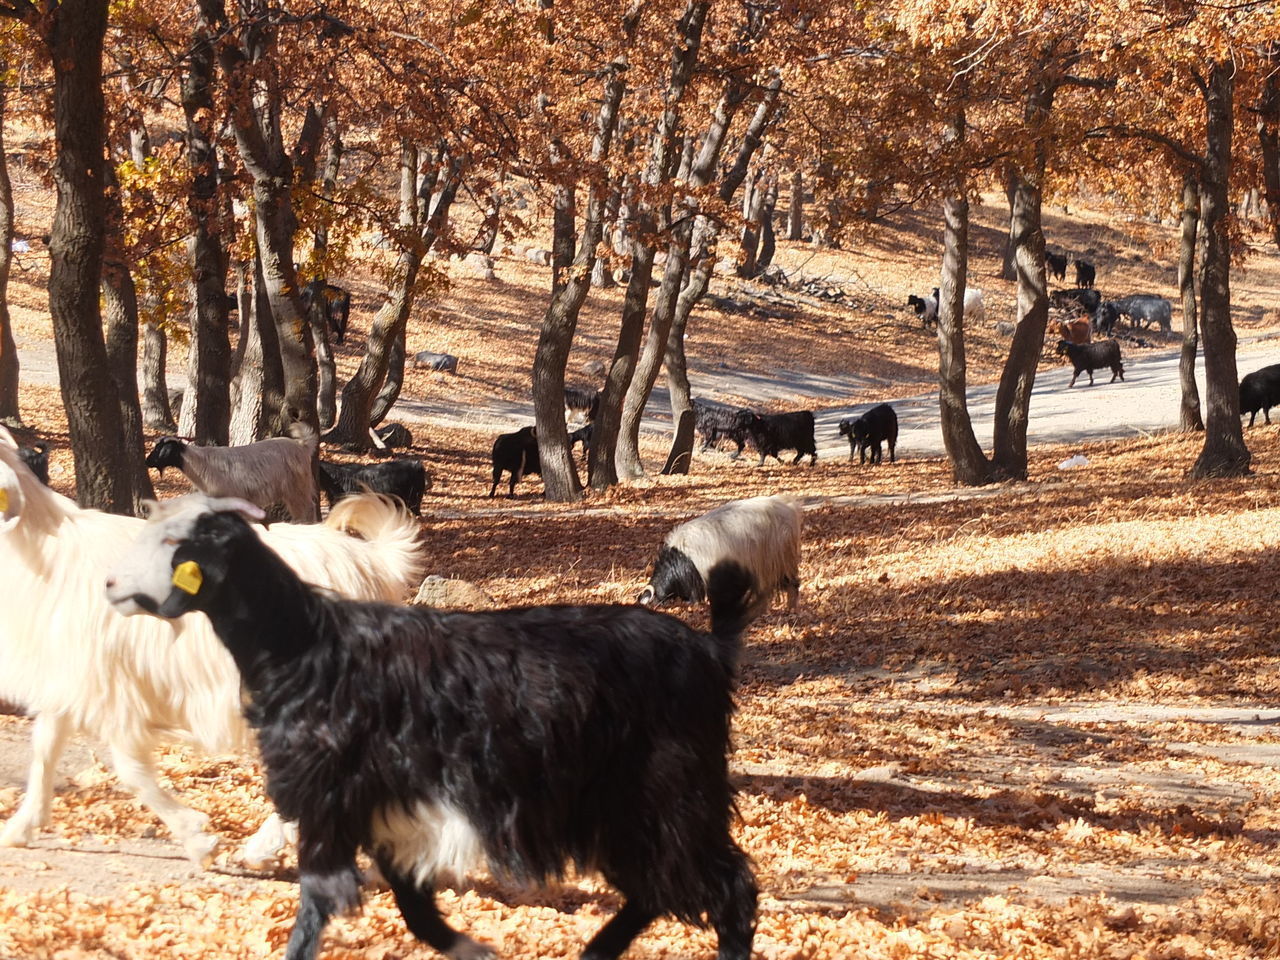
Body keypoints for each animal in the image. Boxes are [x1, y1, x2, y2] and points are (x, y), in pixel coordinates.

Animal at [107, 499, 757, 960]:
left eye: (174, 543)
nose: (111, 586)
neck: (308, 643)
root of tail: (710, 648)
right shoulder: (383, 810)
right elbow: (412, 909)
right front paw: (475, 949)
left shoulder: (332, 804)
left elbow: (318, 906)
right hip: (619, 811)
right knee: (658, 889)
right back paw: (595, 953)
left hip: (667, 795)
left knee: (728, 890)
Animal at [146, 432, 318, 527]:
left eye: (159, 449)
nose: (147, 461)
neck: (199, 463)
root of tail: (302, 445)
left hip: (297, 486)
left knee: (307, 508)